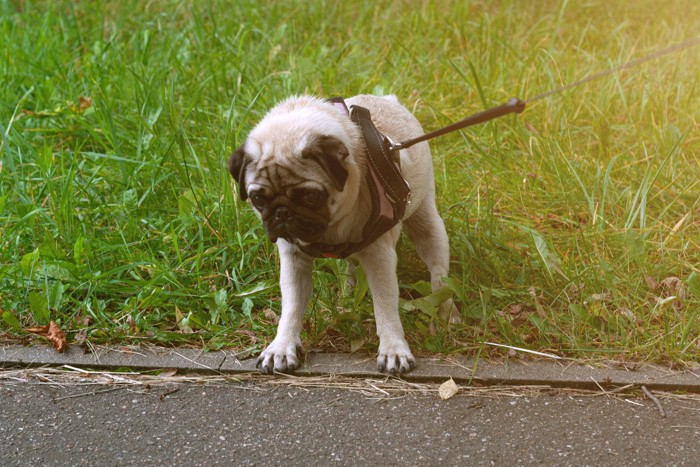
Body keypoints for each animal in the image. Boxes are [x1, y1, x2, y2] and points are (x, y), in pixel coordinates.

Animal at [228, 95, 454, 376]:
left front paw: (393, 348)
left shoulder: (379, 256)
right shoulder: (294, 260)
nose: (282, 213)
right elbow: (291, 306)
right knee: (350, 267)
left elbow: (385, 304)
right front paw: (281, 346)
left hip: (426, 221)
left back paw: (446, 310)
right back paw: (347, 295)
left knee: (438, 272)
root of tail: (389, 99)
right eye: (258, 199)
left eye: (310, 196)